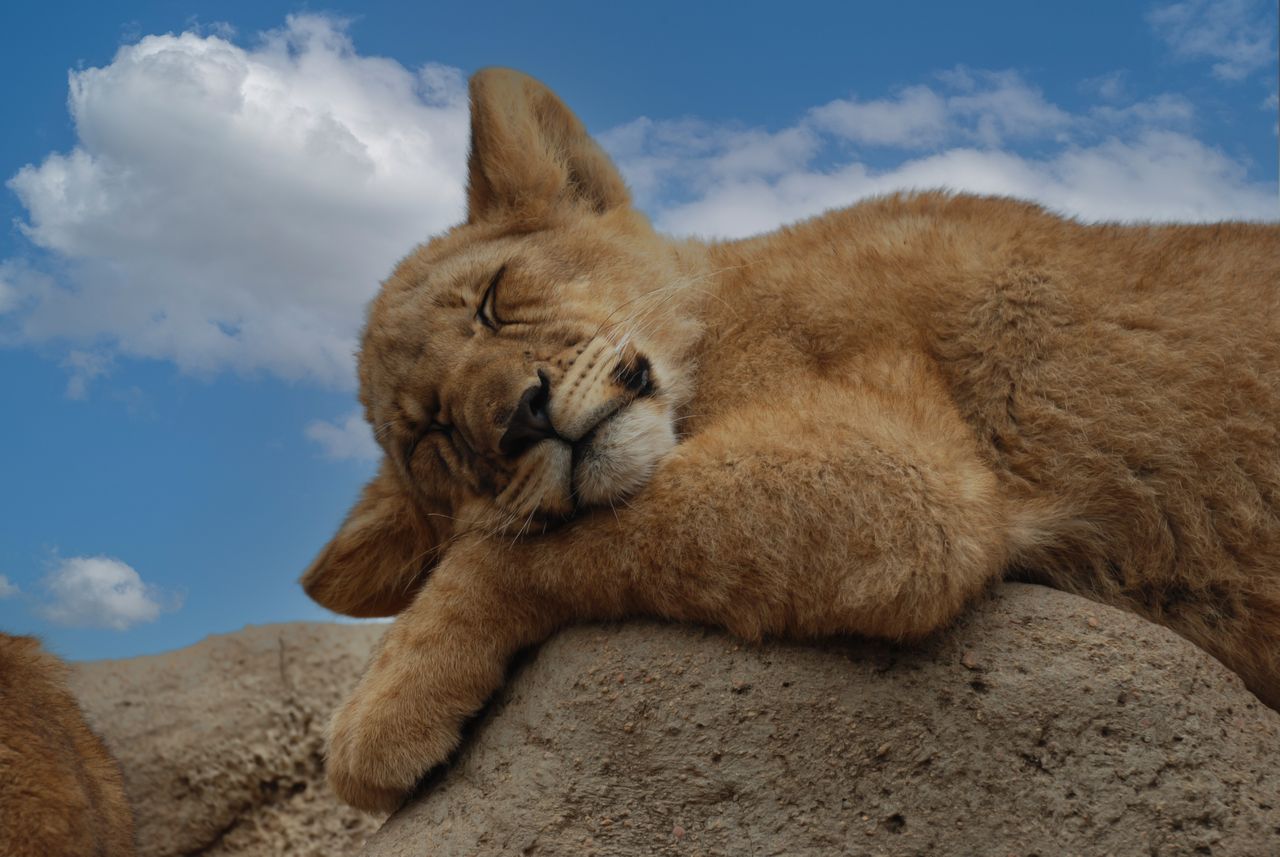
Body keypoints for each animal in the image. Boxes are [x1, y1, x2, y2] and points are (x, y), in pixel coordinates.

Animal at [300, 68, 1280, 813]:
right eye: (430, 433)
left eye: (495, 297)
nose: (520, 417)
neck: (714, 310)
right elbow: (554, 525)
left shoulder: (909, 475)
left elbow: (527, 546)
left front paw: (378, 714)